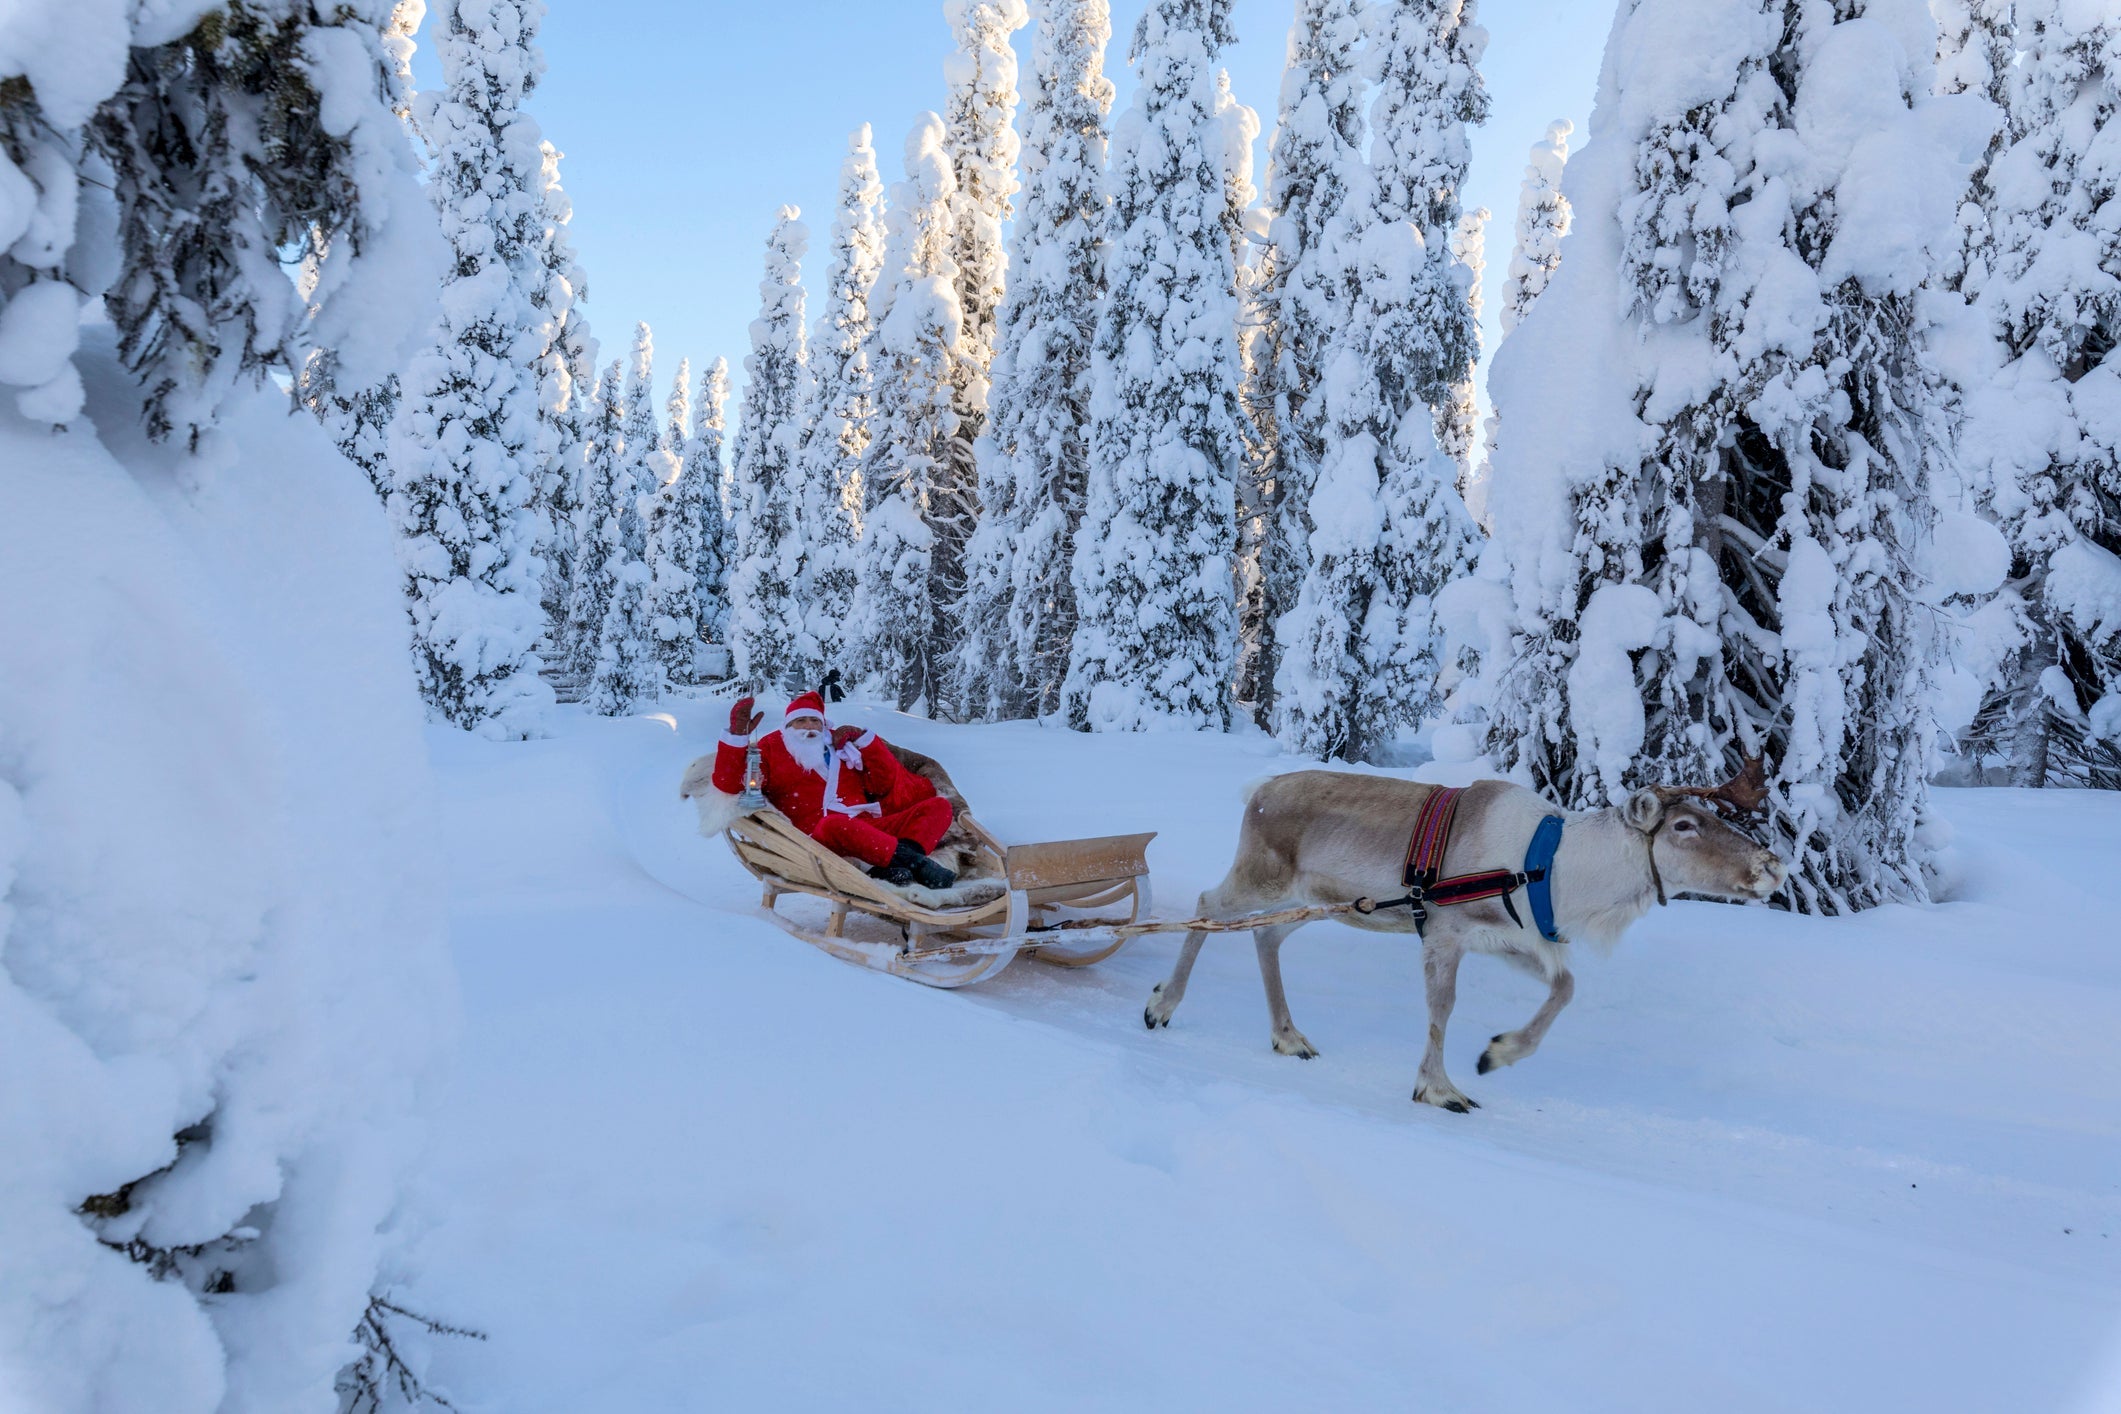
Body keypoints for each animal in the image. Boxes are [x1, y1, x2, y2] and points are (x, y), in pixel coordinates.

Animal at [1142, 762, 1786, 1112]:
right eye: (1685, 825)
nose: (1773, 865)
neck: (1558, 874)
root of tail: (1258, 788)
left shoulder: (1515, 940)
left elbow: (1566, 988)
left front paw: (1497, 1053)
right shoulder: (1444, 935)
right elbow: (1441, 1008)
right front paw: (1440, 1088)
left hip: (1319, 902)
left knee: (1266, 939)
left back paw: (1289, 1037)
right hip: (1260, 876)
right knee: (1204, 907)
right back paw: (1162, 1005)